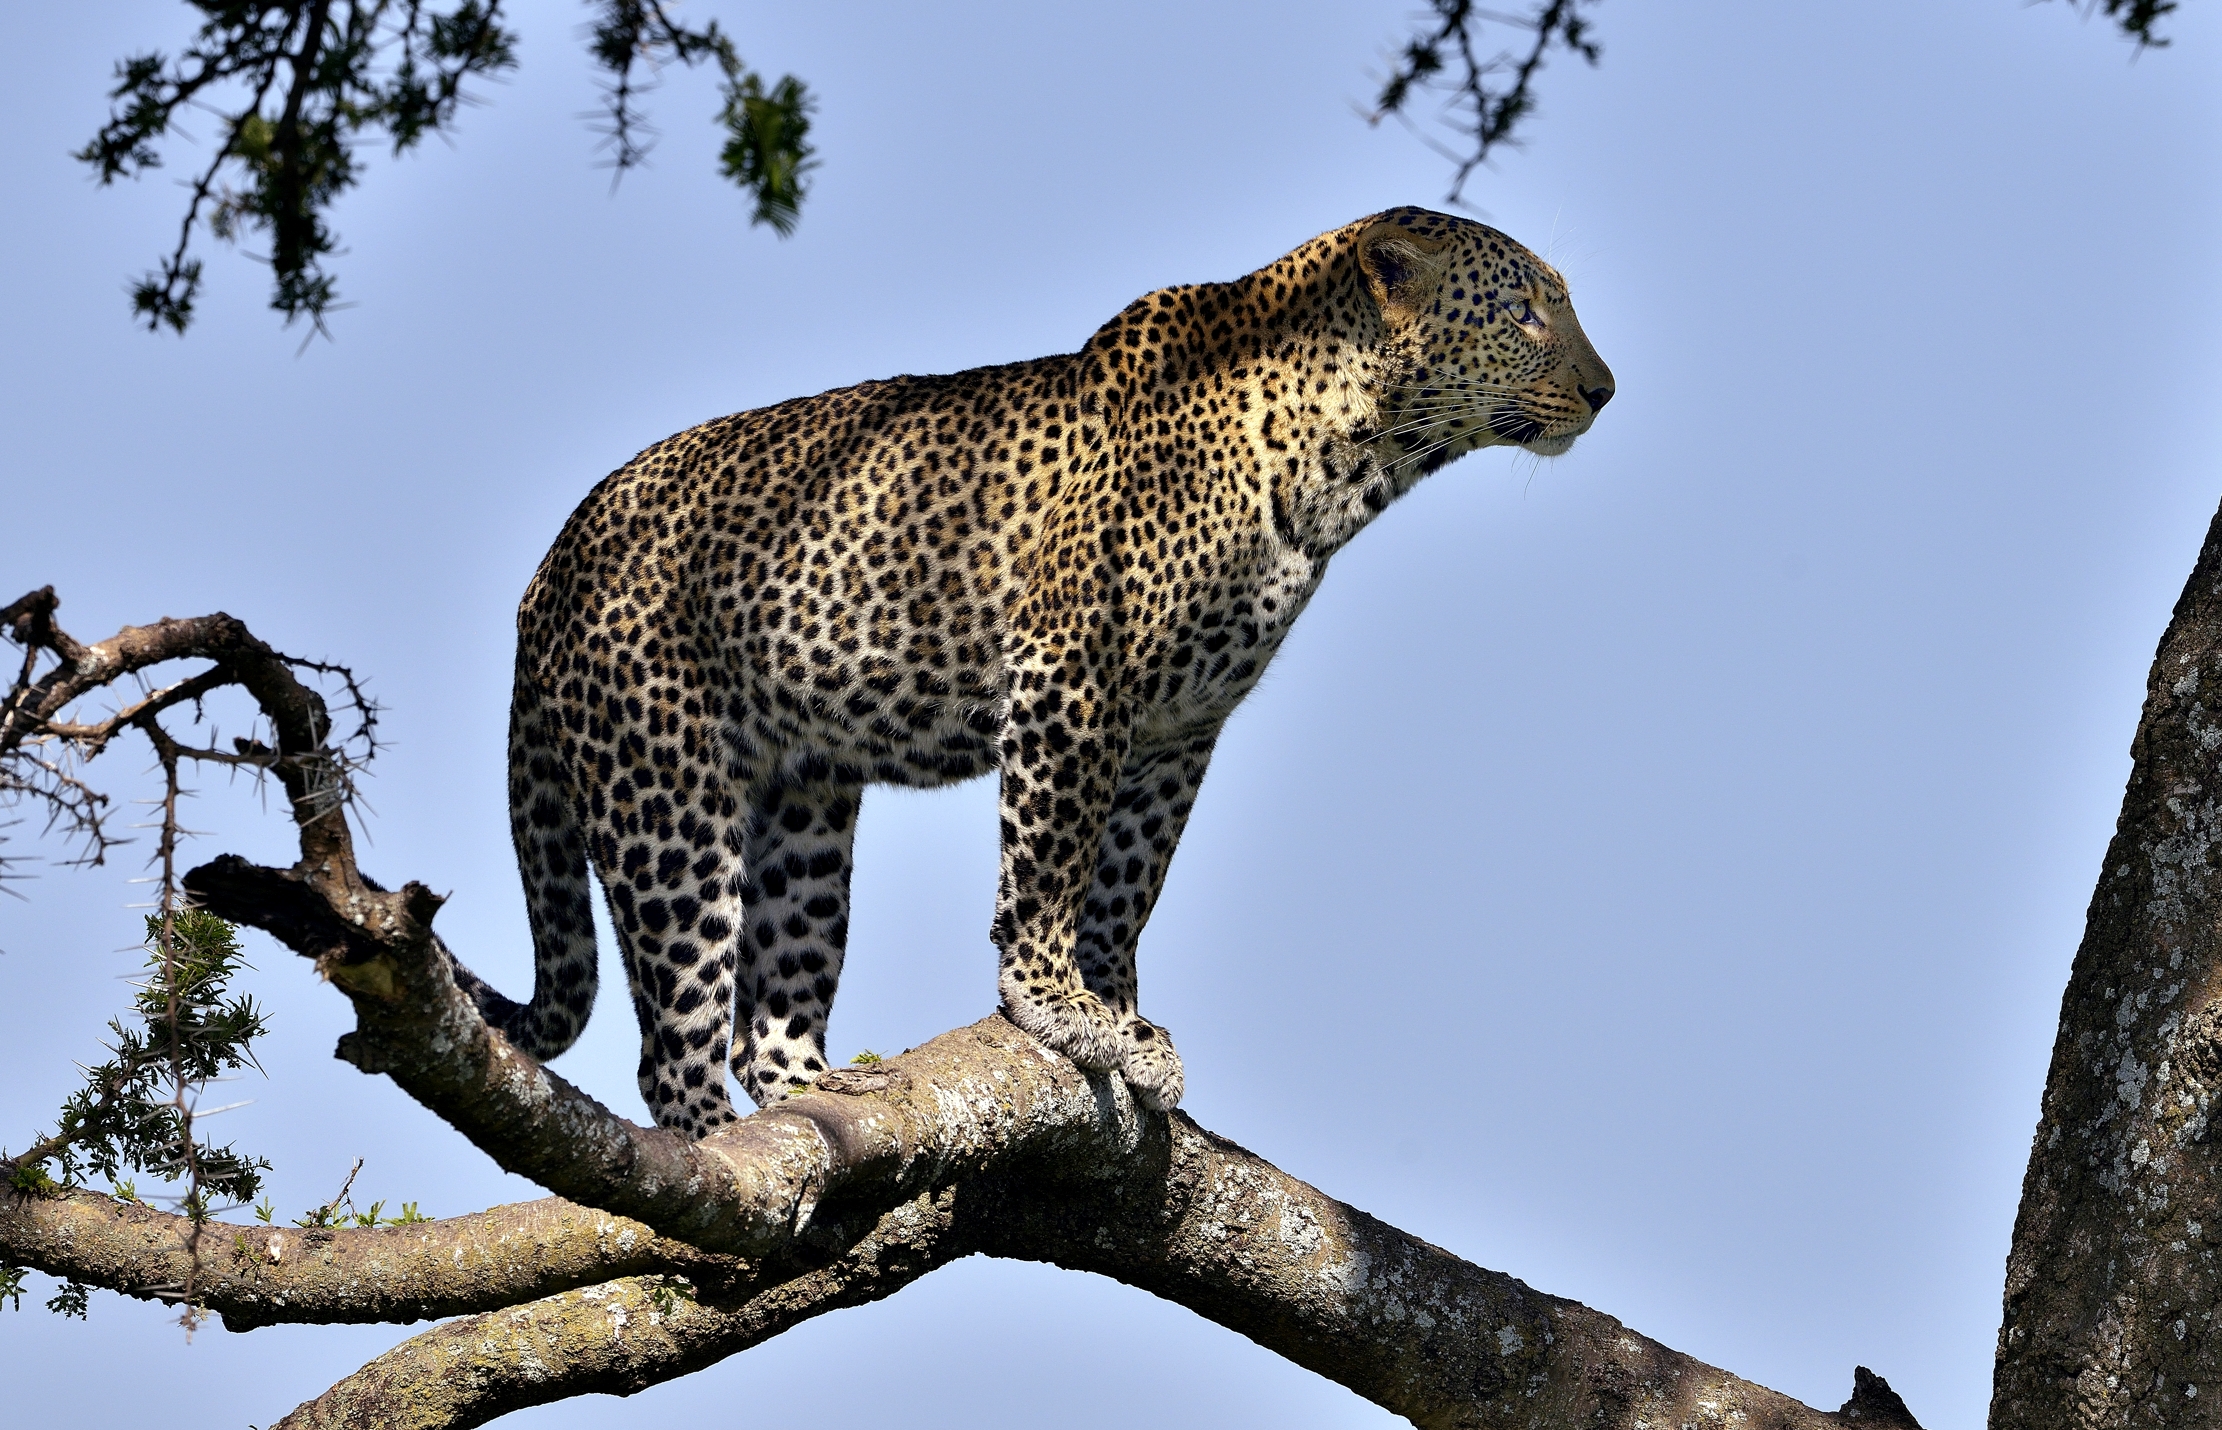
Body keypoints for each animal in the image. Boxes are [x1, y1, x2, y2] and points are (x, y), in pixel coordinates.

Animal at [457, 206, 1616, 1138]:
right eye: (1524, 312)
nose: (1603, 390)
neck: (1349, 460)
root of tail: (546, 566)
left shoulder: (1180, 728)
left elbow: (1129, 880)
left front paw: (1123, 1012)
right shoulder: (1072, 678)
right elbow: (1052, 862)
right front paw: (1056, 1002)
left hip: (804, 808)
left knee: (764, 1019)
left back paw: (827, 1098)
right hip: (666, 802)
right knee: (674, 1046)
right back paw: (717, 1157)